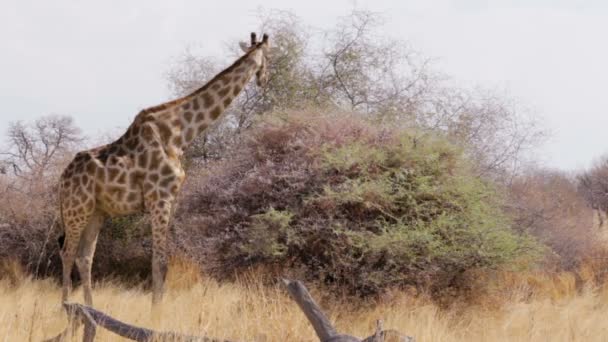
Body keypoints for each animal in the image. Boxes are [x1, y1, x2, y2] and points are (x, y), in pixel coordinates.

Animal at [56, 32, 270, 306]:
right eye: (270, 56)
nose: (265, 79)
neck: (179, 135)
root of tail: (62, 179)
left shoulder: (171, 199)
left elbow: (162, 261)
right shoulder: (159, 198)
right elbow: (159, 262)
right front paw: (156, 313)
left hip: (96, 211)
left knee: (84, 256)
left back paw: (90, 308)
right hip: (77, 208)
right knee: (67, 252)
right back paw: (65, 307)